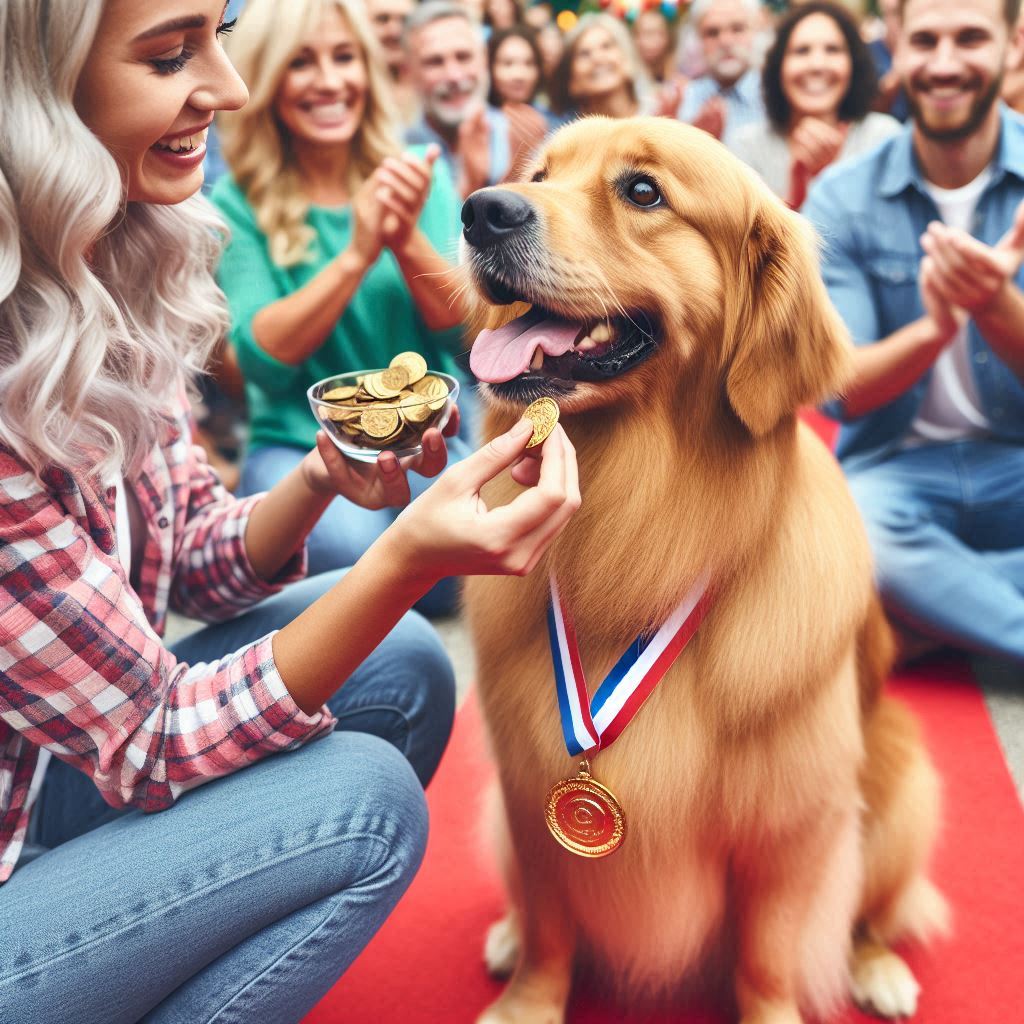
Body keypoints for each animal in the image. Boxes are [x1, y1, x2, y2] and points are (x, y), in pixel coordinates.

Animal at [460, 119, 946, 1024]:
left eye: (643, 192)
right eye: (539, 175)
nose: (481, 211)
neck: (641, 515)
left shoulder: (789, 826)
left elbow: (766, 957)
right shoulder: (525, 788)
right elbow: (548, 924)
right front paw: (526, 1000)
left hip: (898, 790)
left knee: (873, 910)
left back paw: (877, 968)